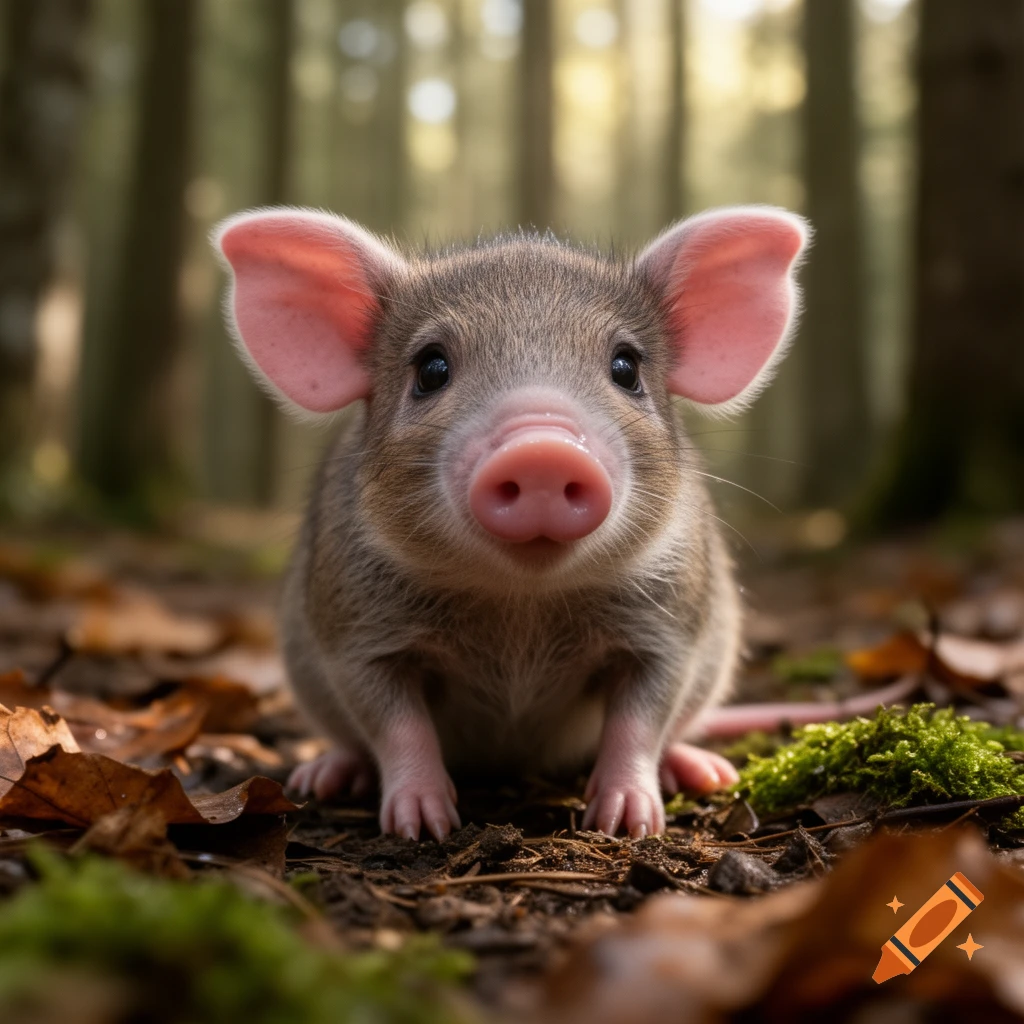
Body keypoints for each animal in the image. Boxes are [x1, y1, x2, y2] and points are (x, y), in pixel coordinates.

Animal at [212, 205, 810, 841]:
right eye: (431, 368)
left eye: (626, 367)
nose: (542, 450)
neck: (521, 604)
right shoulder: (354, 629)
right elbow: (394, 723)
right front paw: (422, 825)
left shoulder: (671, 625)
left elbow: (642, 718)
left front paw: (628, 823)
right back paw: (324, 776)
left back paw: (704, 770)